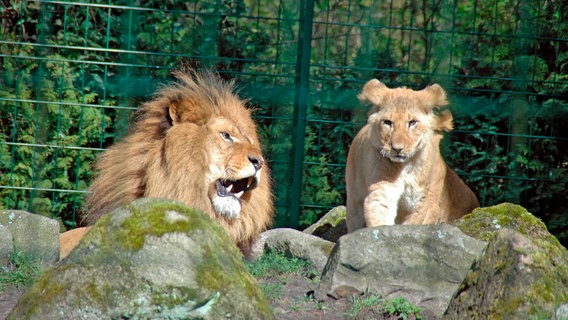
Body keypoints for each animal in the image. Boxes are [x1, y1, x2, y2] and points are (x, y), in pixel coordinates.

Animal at [346, 78, 480, 231]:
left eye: (412, 122)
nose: (397, 148)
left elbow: (413, 223)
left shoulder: (418, 200)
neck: (404, 167)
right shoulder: (382, 190)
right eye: (387, 122)